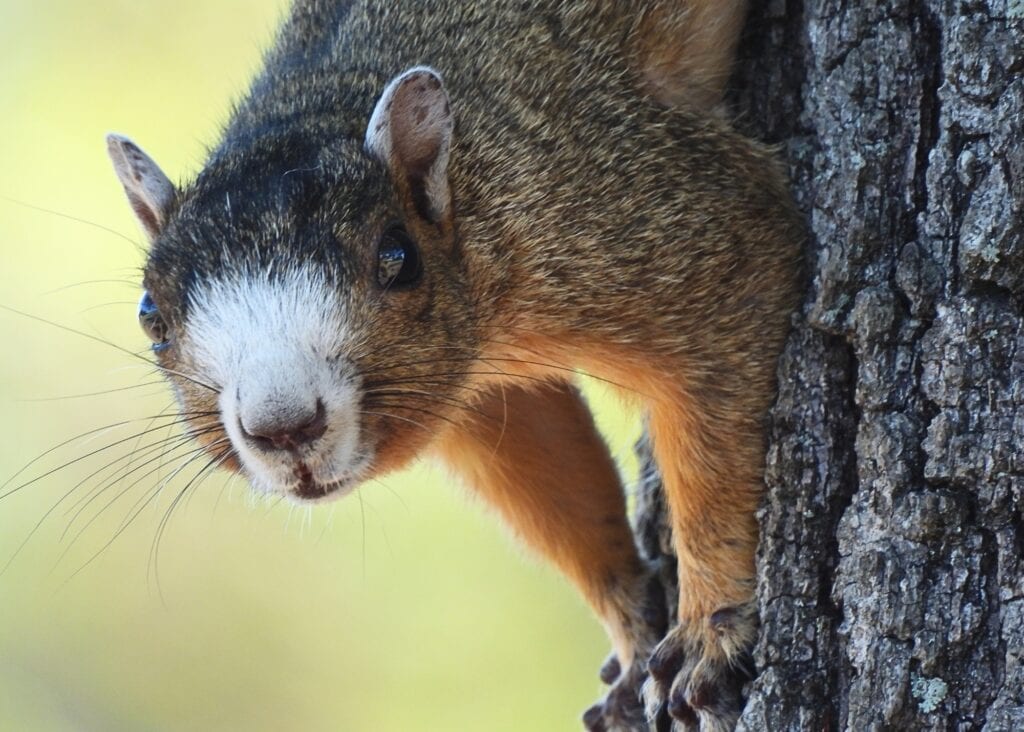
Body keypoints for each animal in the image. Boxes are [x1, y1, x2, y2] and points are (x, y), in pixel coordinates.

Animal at [105, 1, 802, 730]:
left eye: (398, 258)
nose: (284, 426)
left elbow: (722, 360)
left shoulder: (636, 211)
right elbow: (552, 476)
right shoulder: (484, 397)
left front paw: (708, 630)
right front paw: (633, 626)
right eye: (150, 316)